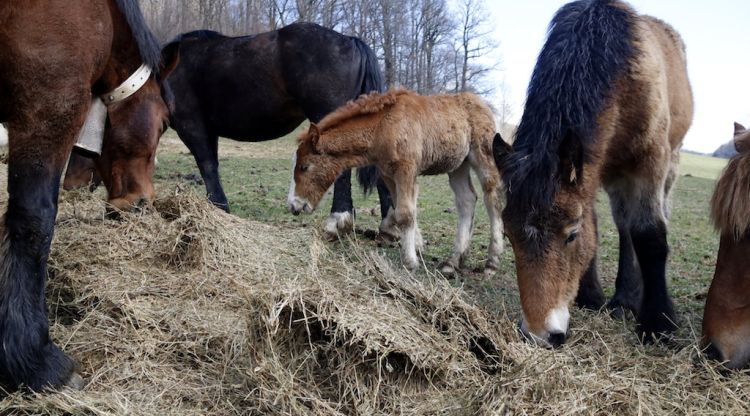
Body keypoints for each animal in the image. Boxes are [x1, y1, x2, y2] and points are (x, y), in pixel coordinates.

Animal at [0, 0, 178, 390]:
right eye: (163, 123)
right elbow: (34, 222)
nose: (142, 202)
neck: (103, 14)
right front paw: (34, 359)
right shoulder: (49, 106)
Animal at [288, 90, 506, 272]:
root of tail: (484, 104)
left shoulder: (406, 170)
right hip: (458, 165)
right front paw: (415, 245)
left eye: (304, 167)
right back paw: (453, 262)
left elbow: (405, 213)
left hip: (483, 155)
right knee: (467, 200)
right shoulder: (388, 174)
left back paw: (492, 262)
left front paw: (410, 261)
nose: (293, 205)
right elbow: (401, 209)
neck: (383, 127)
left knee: (492, 197)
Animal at [494, 0, 692, 346]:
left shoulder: (650, 164)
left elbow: (650, 235)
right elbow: (601, 227)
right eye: (508, 235)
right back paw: (624, 298)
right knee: (624, 225)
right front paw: (592, 296)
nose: (540, 334)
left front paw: (659, 323)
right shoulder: (592, 171)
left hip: (668, 165)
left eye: (571, 234)